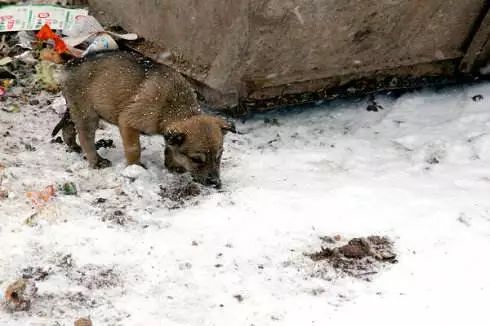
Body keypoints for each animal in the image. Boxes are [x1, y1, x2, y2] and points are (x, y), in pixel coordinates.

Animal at [53, 52, 235, 187]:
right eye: (196, 159)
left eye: (219, 156)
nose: (216, 183)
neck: (174, 106)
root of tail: (70, 65)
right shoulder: (128, 122)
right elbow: (134, 148)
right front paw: (135, 168)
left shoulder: (170, 132)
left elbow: (169, 147)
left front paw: (173, 165)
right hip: (87, 114)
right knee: (86, 138)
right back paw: (96, 161)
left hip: (77, 109)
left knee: (68, 127)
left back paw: (73, 146)